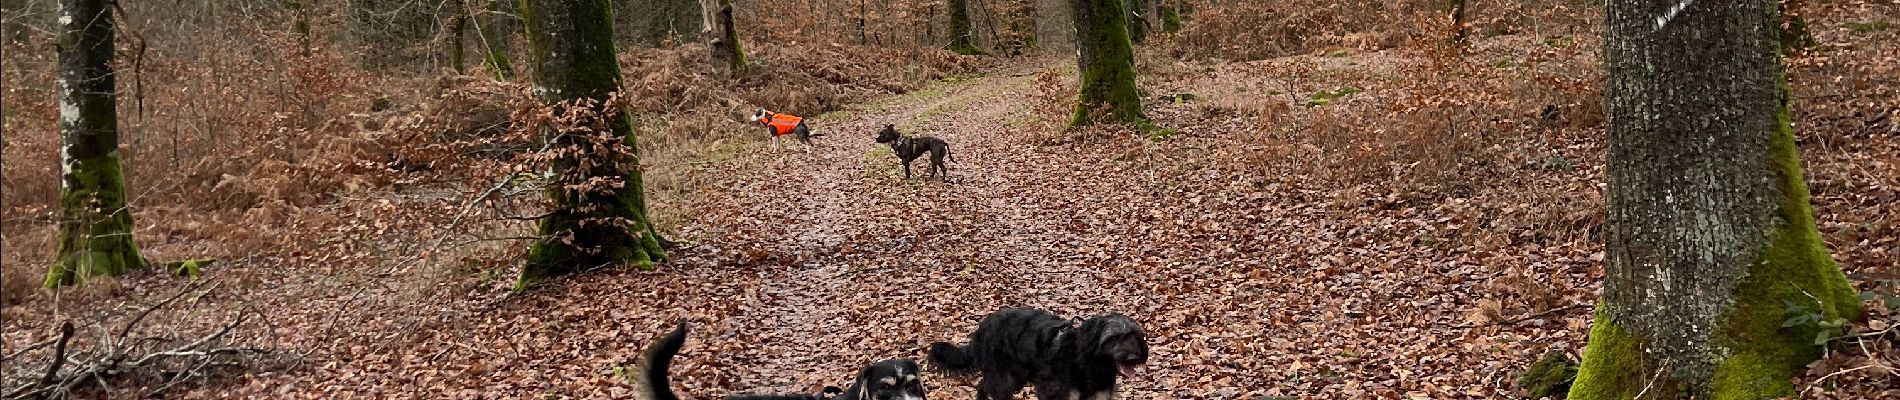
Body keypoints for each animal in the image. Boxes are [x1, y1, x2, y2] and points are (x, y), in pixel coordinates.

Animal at [927, 309, 1147, 400]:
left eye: (1134, 336)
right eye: (1113, 338)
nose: (1133, 358)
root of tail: (982, 329)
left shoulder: (1100, 394)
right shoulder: (1058, 394)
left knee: (983, 385)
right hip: (1004, 377)